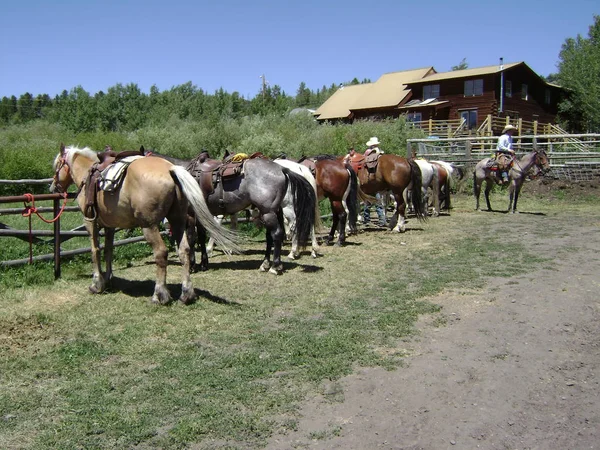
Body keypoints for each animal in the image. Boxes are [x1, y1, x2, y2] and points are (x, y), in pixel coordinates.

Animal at [49, 144, 240, 306]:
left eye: (56, 165)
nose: (53, 188)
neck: (87, 174)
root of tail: (170, 170)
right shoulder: (110, 226)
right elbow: (109, 250)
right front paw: (109, 279)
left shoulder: (90, 222)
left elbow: (95, 251)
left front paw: (97, 284)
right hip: (177, 220)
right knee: (184, 250)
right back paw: (186, 294)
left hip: (149, 226)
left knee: (161, 253)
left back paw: (159, 295)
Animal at [185, 151, 316, 274]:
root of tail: (282, 169)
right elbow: (201, 236)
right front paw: (203, 263)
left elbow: (191, 238)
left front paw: (192, 265)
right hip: (272, 211)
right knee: (271, 236)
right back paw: (266, 264)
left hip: (270, 212)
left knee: (278, 233)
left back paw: (275, 266)